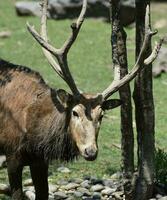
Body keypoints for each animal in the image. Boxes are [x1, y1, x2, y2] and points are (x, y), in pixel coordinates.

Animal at [0, 0, 162, 199]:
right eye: (75, 112)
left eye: (101, 115)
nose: (90, 151)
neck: (34, 136)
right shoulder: (12, 155)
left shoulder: (40, 161)